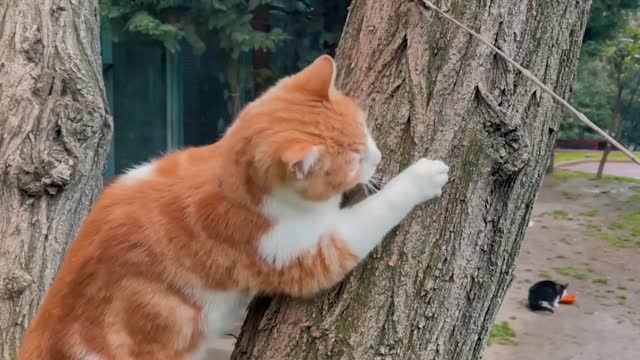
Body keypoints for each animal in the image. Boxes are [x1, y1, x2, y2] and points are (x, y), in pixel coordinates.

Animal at [20, 54, 450, 358]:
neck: (229, 177)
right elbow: (375, 211)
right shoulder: (307, 252)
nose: (378, 157)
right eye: (357, 159)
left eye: (365, 130)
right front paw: (423, 176)